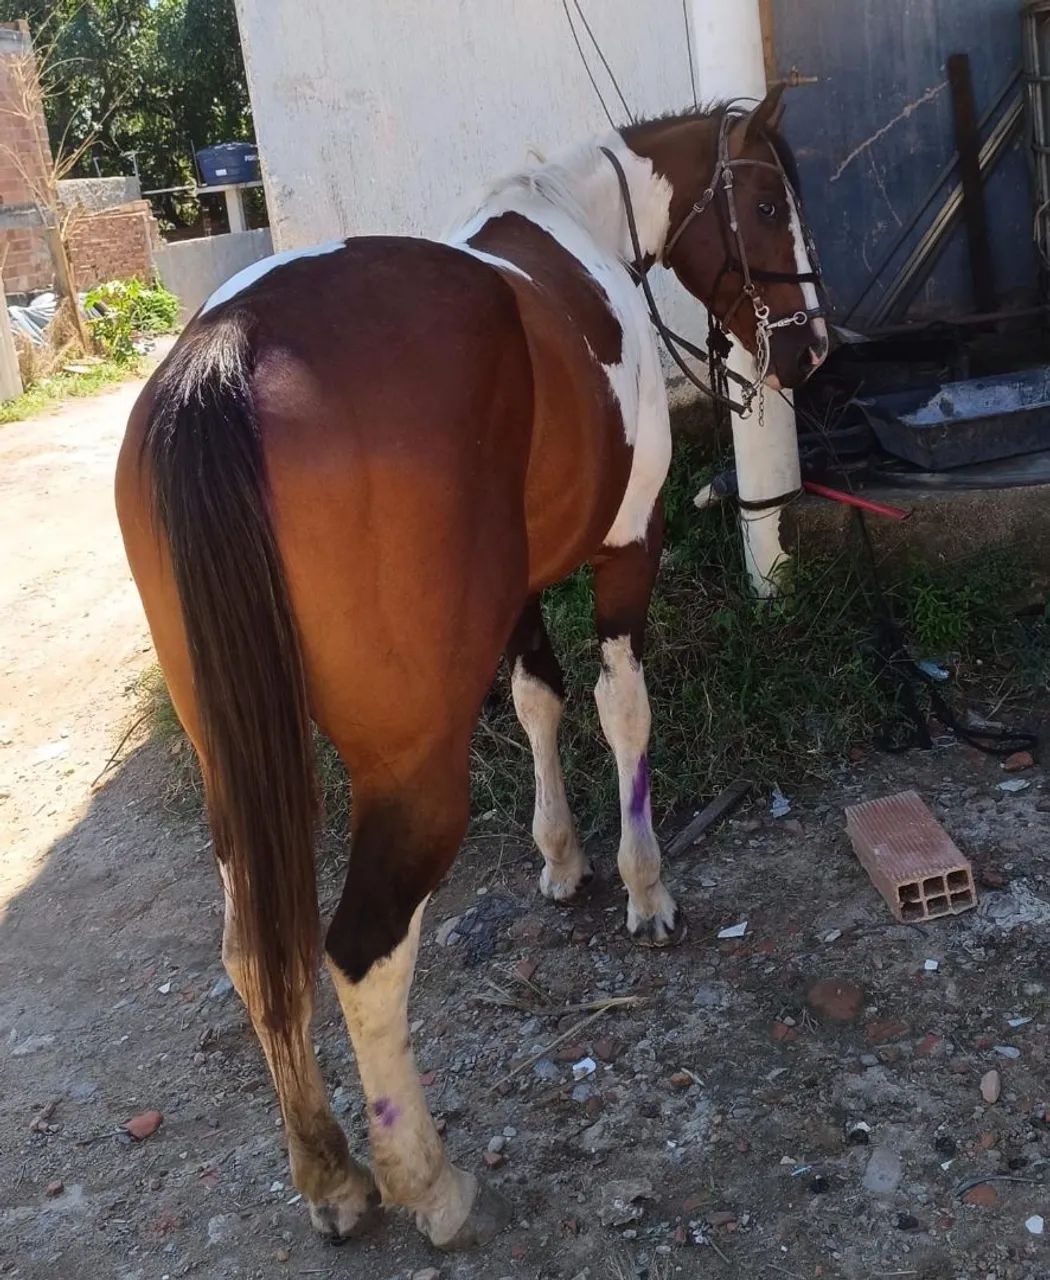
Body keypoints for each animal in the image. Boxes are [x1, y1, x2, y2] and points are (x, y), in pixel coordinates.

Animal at [115, 85, 827, 1252]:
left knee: (252, 950)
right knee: (359, 950)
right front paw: (642, 883)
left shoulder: (524, 583)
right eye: (767, 202)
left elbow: (538, 700)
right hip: (411, 772)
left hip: (234, 763)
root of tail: (229, 345)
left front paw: (562, 856)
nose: (808, 349)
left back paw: (332, 1172)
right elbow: (621, 709)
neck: (580, 227)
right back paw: (425, 1181)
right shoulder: (626, 543)